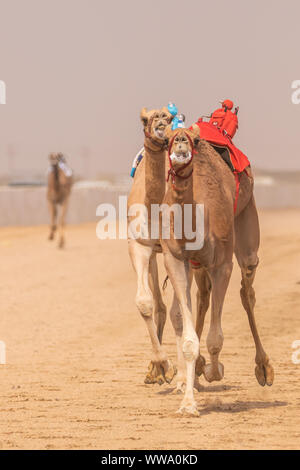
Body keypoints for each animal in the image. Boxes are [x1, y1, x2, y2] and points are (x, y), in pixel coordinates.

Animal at [162, 127, 274, 414]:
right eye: (166, 140)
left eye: (192, 139)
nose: (180, 142)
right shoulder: (176, 259)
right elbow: (189, 338)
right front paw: (188, 404)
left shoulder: (222, 263)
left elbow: (215, 338)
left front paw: (214, 371)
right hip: (197, 265)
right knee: (203, 295)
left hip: (247, 224)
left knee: (247, 291)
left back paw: (264, 368)